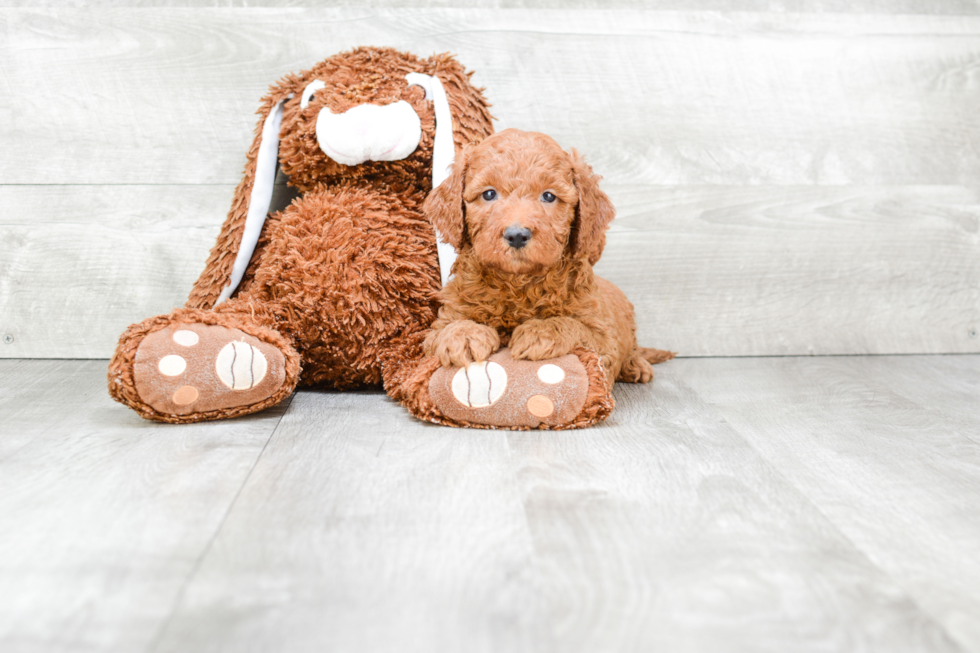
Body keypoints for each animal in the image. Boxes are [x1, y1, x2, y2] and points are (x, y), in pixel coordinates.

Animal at [424, 130, 672, 390]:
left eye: (548, 196)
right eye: (489, 194)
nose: (517, 235)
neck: (517, 284)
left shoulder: (603, 337)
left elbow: (574, 326)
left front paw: (540, 332)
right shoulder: (443, 320)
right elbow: (446, 329)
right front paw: (462, 335)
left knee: (632, 350)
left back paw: (637, 365)